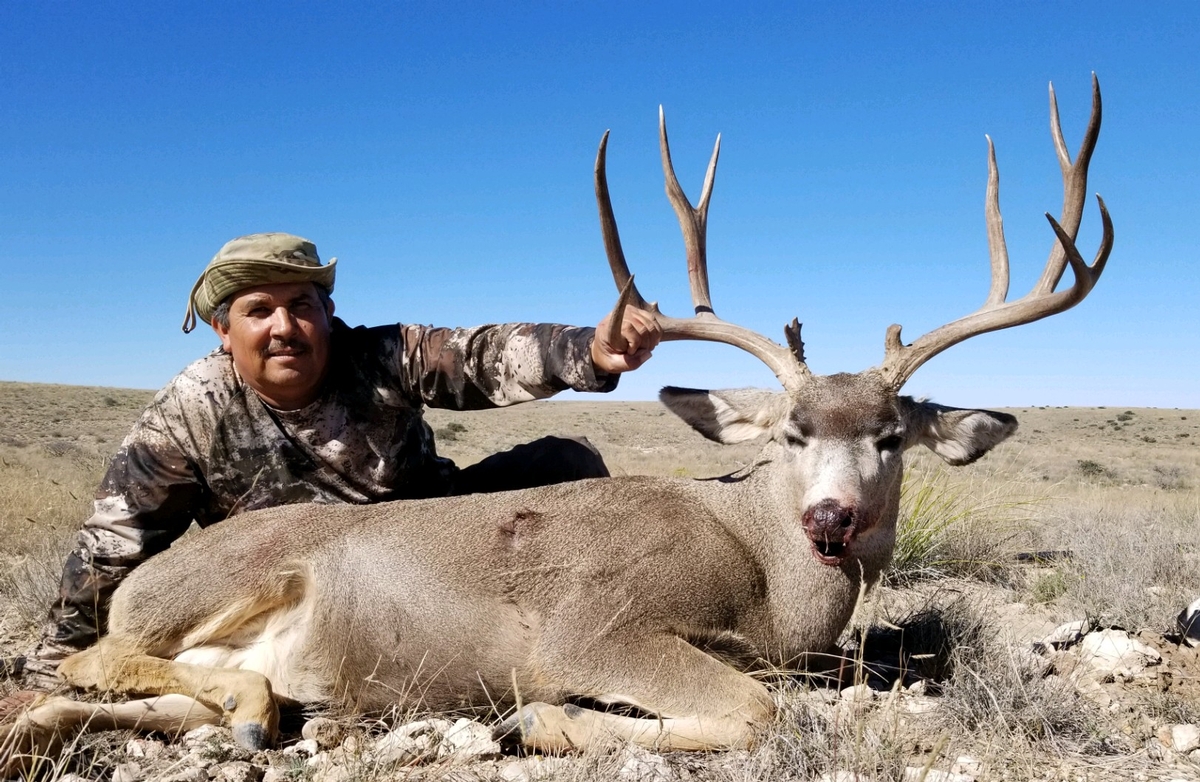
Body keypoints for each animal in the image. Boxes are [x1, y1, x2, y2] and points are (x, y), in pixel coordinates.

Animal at [0, 76, 1108, 772]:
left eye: (889, 436)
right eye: (789, 434)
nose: (831, 518)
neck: (763, 578)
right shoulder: (595, 627)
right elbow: (750, 709)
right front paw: (535, 724)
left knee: (126, 695)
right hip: (205, 585)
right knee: (96, 655)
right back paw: (239, 710)